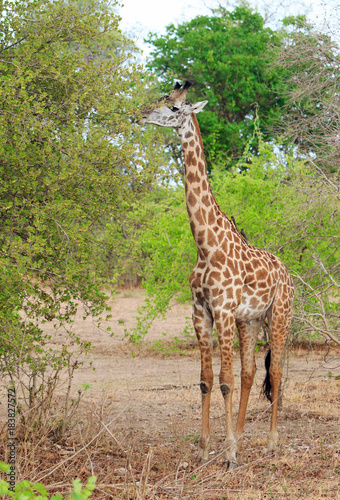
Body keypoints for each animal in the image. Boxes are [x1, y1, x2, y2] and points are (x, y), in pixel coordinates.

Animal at [139, 82, 294, 468]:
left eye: (175, 107)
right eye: (162, 98)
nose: (141, 114)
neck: (204, 244)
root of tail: (287, 273)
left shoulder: (222, 311)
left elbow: (225, 380)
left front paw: (230, 455)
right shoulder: (201, 313)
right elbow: (207, 379)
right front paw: (208, 447)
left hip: (279, 315)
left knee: (276, 372)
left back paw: (270, 443)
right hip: (250, 321)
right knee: (251, 372)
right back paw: (239, 435)